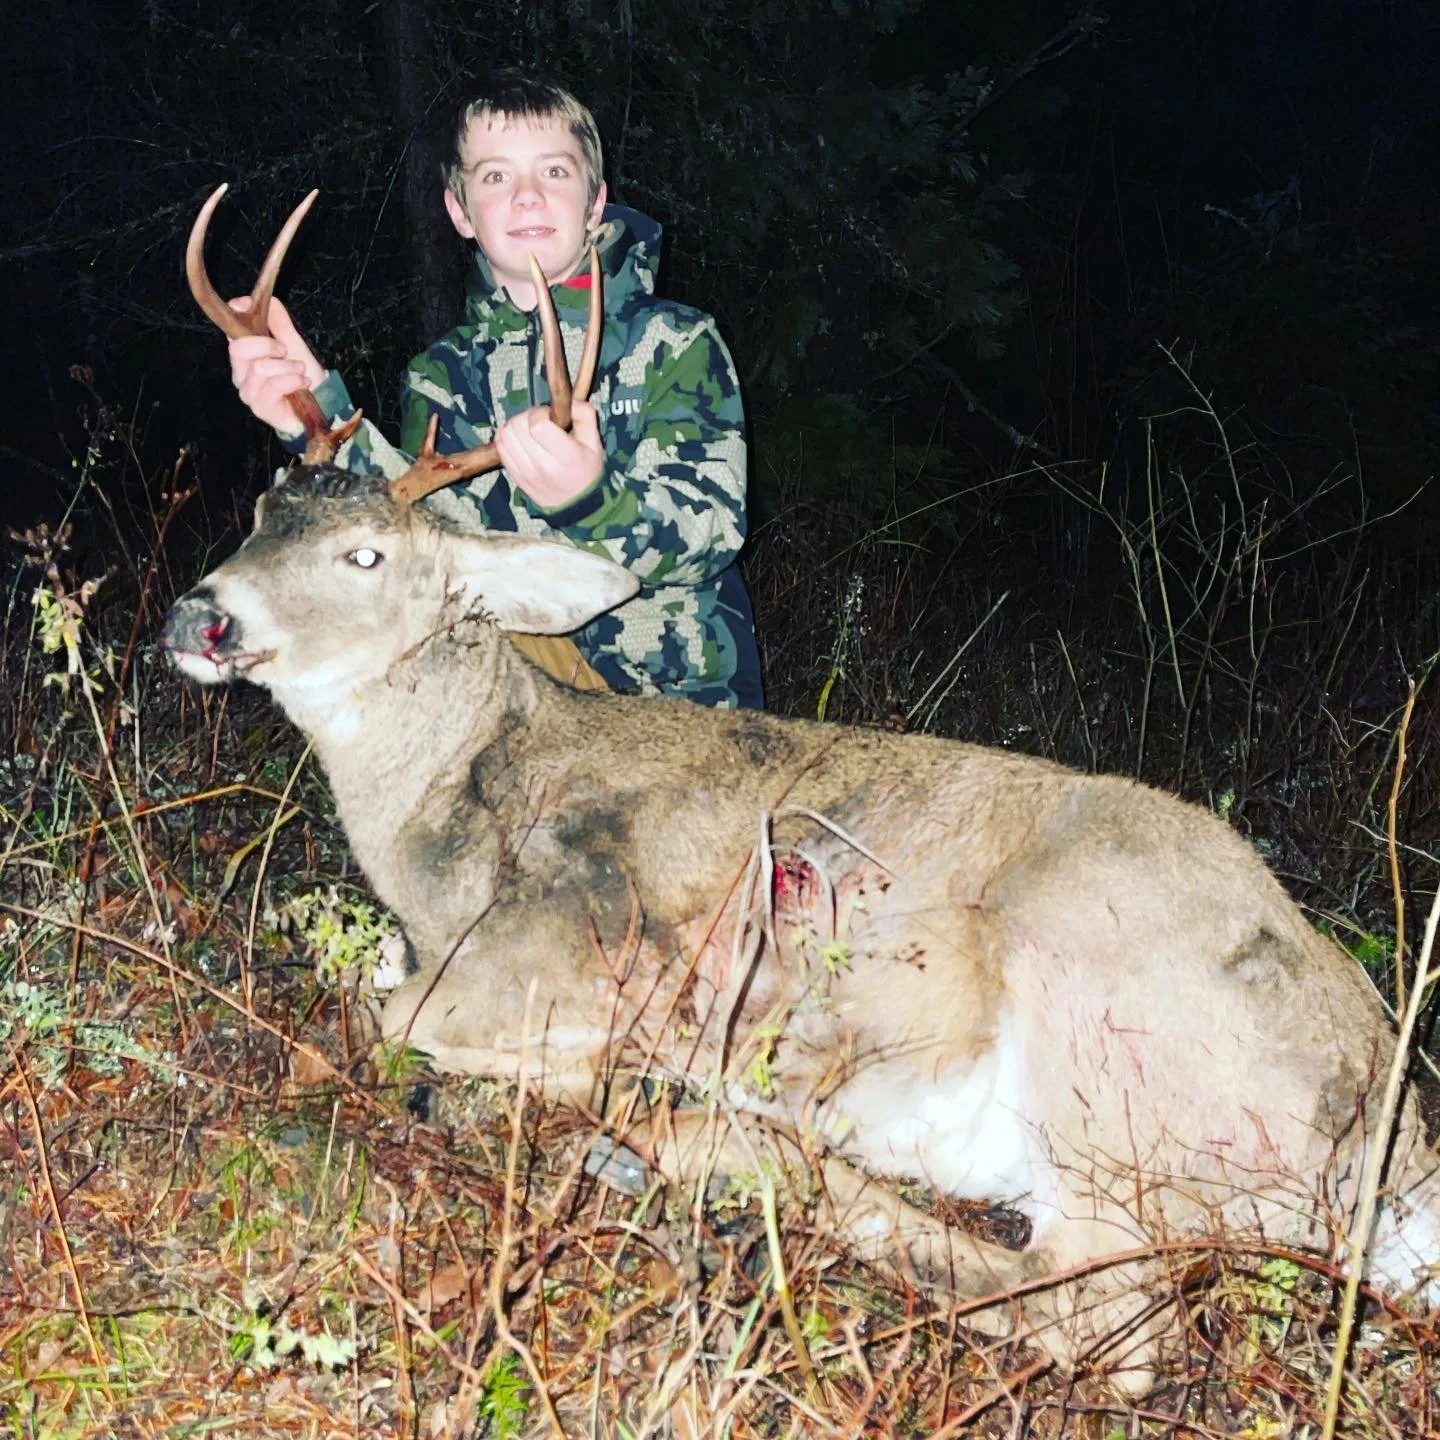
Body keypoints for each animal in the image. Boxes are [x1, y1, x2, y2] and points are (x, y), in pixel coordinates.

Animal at [165, 187, 1440, 1389]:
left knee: (1107, 1320)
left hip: (1107, 1044)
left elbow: (399, 1013)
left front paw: (582, 1072)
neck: (456, 819)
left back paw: (694, 1139)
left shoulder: (581, 937)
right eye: (264, 512)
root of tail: (1390, 1135)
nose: (199, 618)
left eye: (366, 556)